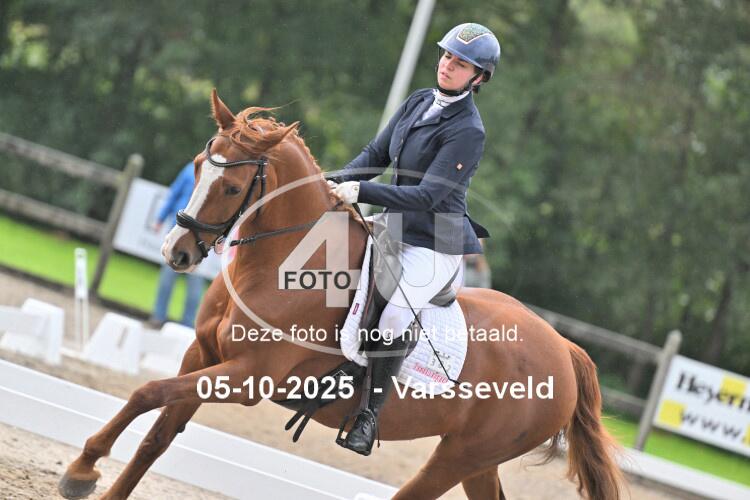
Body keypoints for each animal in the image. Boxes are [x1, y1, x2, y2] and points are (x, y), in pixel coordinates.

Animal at [59, 90, 623, 500]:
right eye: (198, 166)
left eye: (232, 187)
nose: (175, 252)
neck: (277, 266)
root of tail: (565, 349)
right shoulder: (203, 355)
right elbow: (155, 430)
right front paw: (89, 474)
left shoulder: (245, 378)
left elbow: (147, 391)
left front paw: (84, 467)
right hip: (475, 460)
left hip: (463, 454)